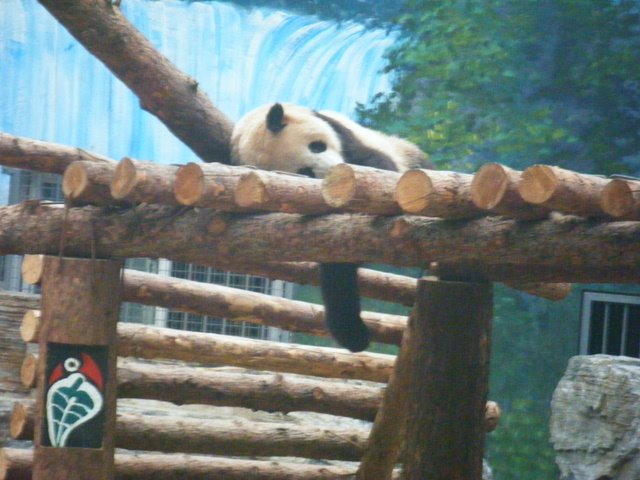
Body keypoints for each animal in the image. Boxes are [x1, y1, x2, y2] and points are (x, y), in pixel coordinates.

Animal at [231, 103, 429, 352]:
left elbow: (378, 168)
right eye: (305, 171)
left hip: (406, 153)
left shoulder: (345, 135)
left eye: (317, 146)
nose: (338, 170)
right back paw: (352, 334)